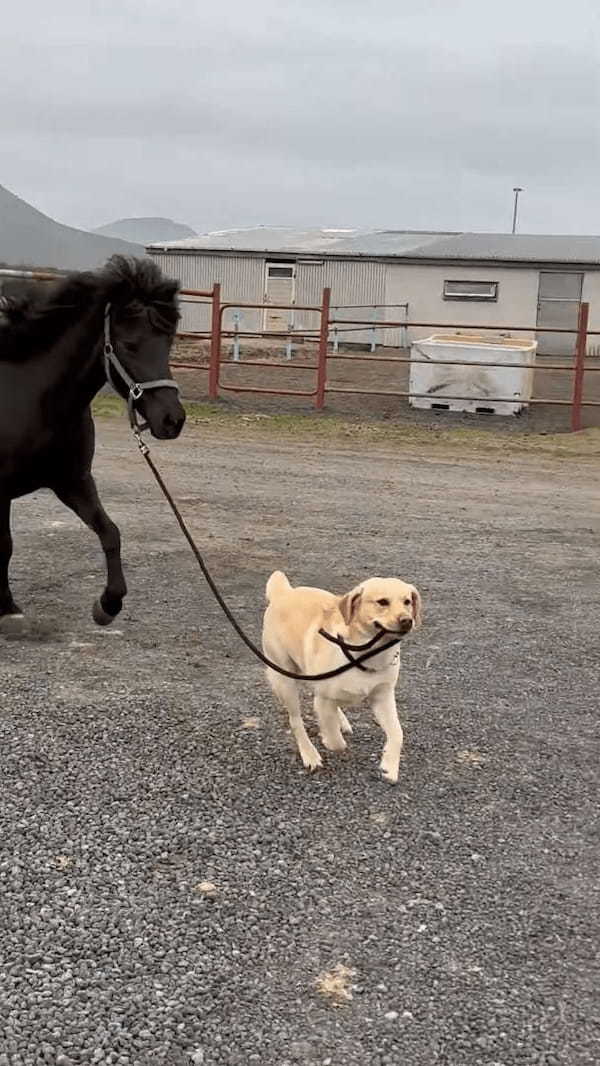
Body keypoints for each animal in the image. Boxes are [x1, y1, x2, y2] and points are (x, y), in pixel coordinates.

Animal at [0, 253, 185, 626]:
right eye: (129, 345)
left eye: (168, 343)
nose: (173, 420)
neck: (33, 397)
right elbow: (4, 546)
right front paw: (4, 607)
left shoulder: (73, 481)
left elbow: (110, 532)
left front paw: (108, 604)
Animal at [263, 575, 422, 784]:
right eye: (382, 602)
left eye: (407, 601)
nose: (407, 621)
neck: (366, 655)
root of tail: (284, 592)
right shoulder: (323, 699)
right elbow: (336, 742)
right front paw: (327, 738)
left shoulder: (383, 697)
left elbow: (397, 733)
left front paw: (389, 765)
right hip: (285, 681)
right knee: (296, 721)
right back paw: (309, 753)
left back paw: (341, 721)